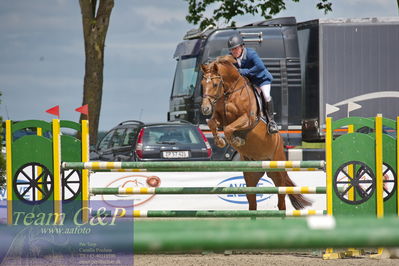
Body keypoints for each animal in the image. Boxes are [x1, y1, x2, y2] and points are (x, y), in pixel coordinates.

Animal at [202, 55, 310, 210]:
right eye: (202, 84)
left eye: (215, 84)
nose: (204, 108)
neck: (231, 91)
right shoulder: (220, 118)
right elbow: (212, 123)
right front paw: (221, 142)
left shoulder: (249, 118)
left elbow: (229, 129)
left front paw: (236, 140)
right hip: (251, 176)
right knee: (252, 201)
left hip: (277, 171)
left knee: (281, 199)